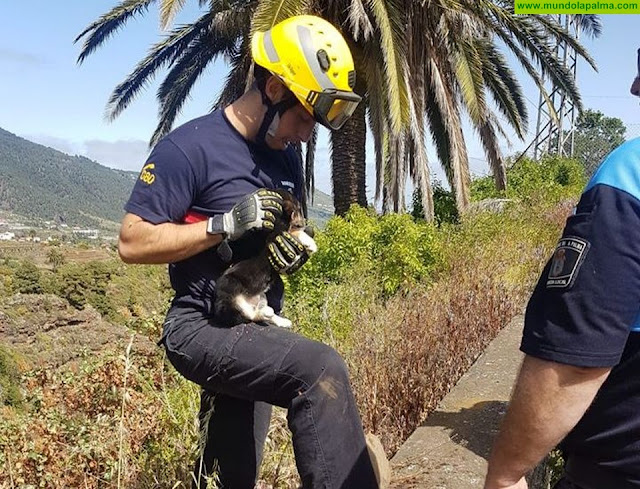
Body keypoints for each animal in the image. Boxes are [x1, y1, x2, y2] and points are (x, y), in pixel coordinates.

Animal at [214, 189, 316, 326]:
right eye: (298, 209)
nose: (304, 222)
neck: (278, 218)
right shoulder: (274, 237)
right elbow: (294, 233)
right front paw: (310, 243)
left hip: (262, 296)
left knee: (259, 315)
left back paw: (281, 320)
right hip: (230, 286)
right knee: (247, 315)